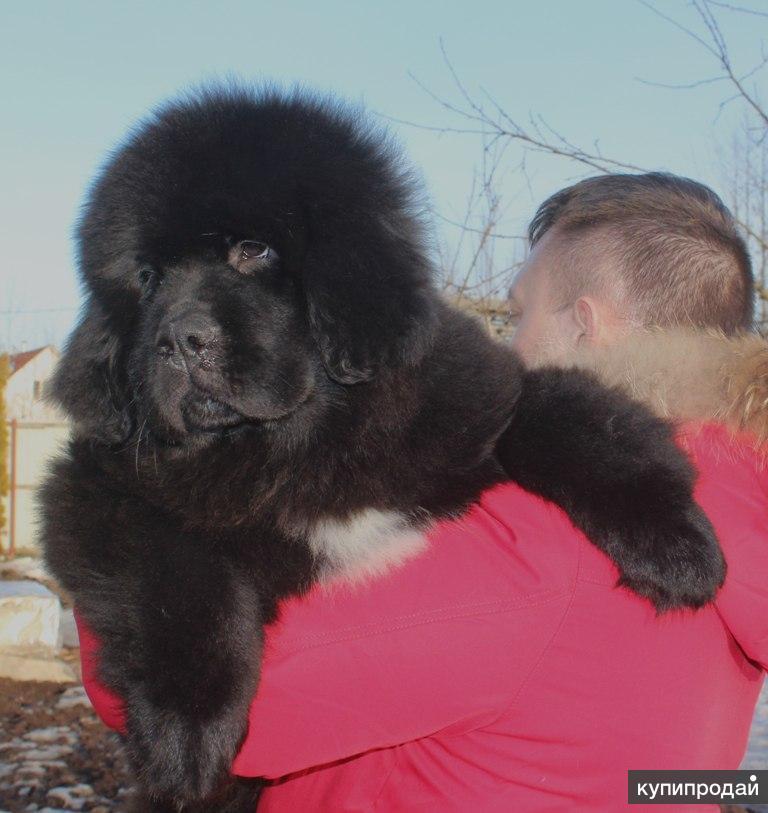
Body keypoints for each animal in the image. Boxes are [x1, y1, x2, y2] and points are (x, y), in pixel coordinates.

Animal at [43, 85, 728, 808]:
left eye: (253, 250)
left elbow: (558, 412)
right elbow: (179, 567)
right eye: (146, 278)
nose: (176, 340)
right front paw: (186, 728)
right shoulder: (95, 485)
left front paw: (675, 545)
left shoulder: (470, 400)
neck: (298, 446)